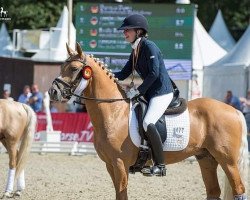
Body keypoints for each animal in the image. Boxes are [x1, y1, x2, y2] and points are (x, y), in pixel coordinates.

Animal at [48, 42, 248, 200]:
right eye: (61, 67)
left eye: (74, 69)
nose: (53, 92)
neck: (114, 113)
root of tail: (234, 110)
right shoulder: (110, 165)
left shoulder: (120, 164)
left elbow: (121, 194)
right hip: (206, 158)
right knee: (213, 191)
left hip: (228, 161)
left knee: (239, 189)